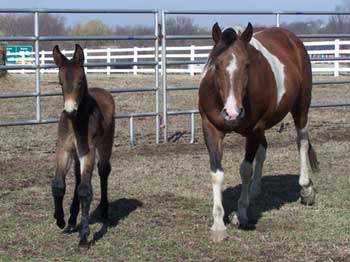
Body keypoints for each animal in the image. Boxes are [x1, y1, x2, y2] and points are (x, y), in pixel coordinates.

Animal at [51, 44, 115, 249]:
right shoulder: (64, 149)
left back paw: (104, 210)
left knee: (103, 170)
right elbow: (58, 185)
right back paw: (72, 219)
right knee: (78, 177)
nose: (70, 110)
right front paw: (60, 220)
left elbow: (85, 191)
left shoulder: (88, 151)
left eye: (80, 82)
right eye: (60, 83)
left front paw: (84, 238)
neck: (75, 122)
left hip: (105, 144)